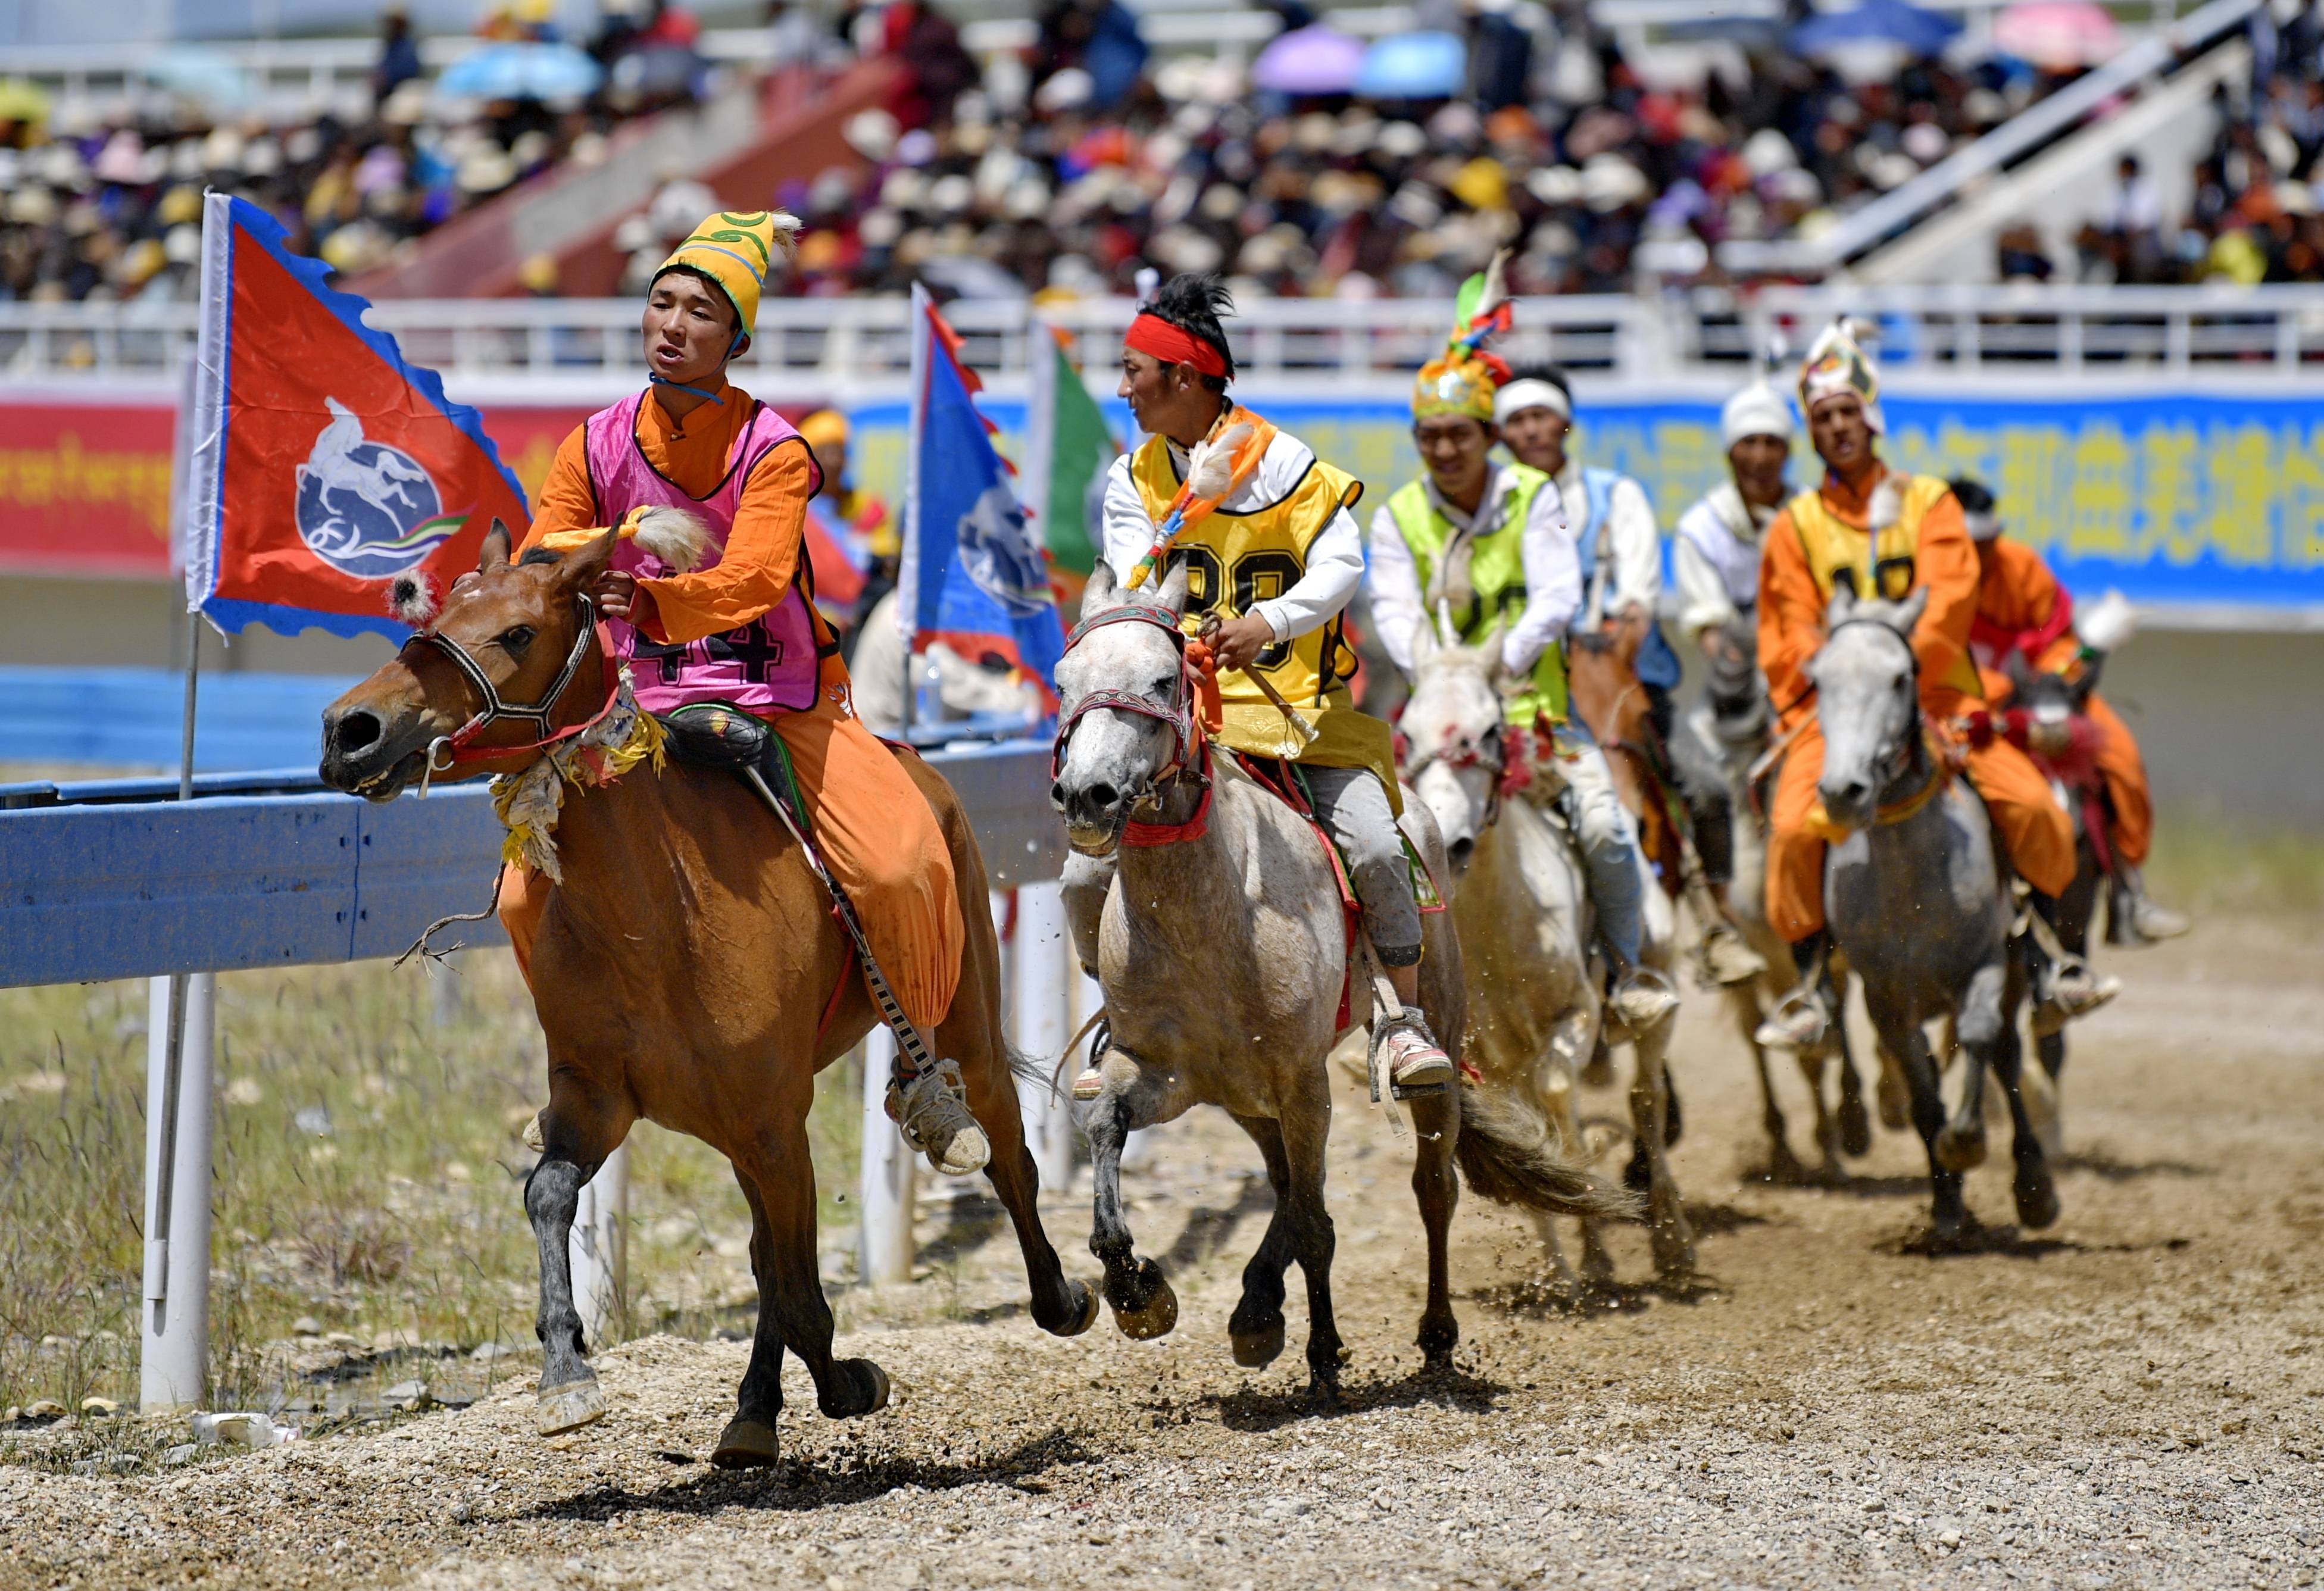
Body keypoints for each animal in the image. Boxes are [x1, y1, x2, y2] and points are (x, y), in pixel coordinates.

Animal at [316, 529, 1097, 1468]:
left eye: (515, 632)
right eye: (430, 613)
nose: (352, 729)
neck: (655, 916)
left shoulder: (774, 1121)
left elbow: (797, 1284)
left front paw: (848, 1381)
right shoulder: (600, 1101)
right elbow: (555, 1198)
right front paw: (566, 1373)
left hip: (964, 1009)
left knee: (1009, 1151)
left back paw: (1073, 1297)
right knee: (770, 1252)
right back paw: (755, 1407)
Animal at [1055, 557, 1636, 1393]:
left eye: (1165, 678)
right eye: (1064, 681)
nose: (1087, 795)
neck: (1209, 916)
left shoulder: (1299, 1079)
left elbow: (1318, 1222)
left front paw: (1324, 1352)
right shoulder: (1169, 1071)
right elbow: (1109, 1126)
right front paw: (1137, 1290)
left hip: (1433, 1039)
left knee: (1431, 1188)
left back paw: (1433, 1333)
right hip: (1250, 1096)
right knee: (1288, 1184)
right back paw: (1257, 1307)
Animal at [1385, 627, 1701, 1282]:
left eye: (1487, 730)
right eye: (1410, 733)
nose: (1451, 841)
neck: (1497, 925)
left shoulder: (1575, 1016)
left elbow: (1563, 1107)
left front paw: (1597, 1251)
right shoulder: (1482, 1057)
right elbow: (1526, 1127)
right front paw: (1562, 1267)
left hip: (1655, 991)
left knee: (1646, 1099)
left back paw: (1672, 1240)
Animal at [1813, 583, 2054, 1245]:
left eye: (1899, 677)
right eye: (1818, 679)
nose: (1843, 792)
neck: (1911, 877)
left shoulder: (1986, 964)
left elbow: (1980, 1039)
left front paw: (1966, 1142)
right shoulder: (1885, 997)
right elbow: (1921, 1096)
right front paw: (1947, 1205)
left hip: (2015, 967)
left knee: (2006, 1054)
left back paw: (2034, 1187)